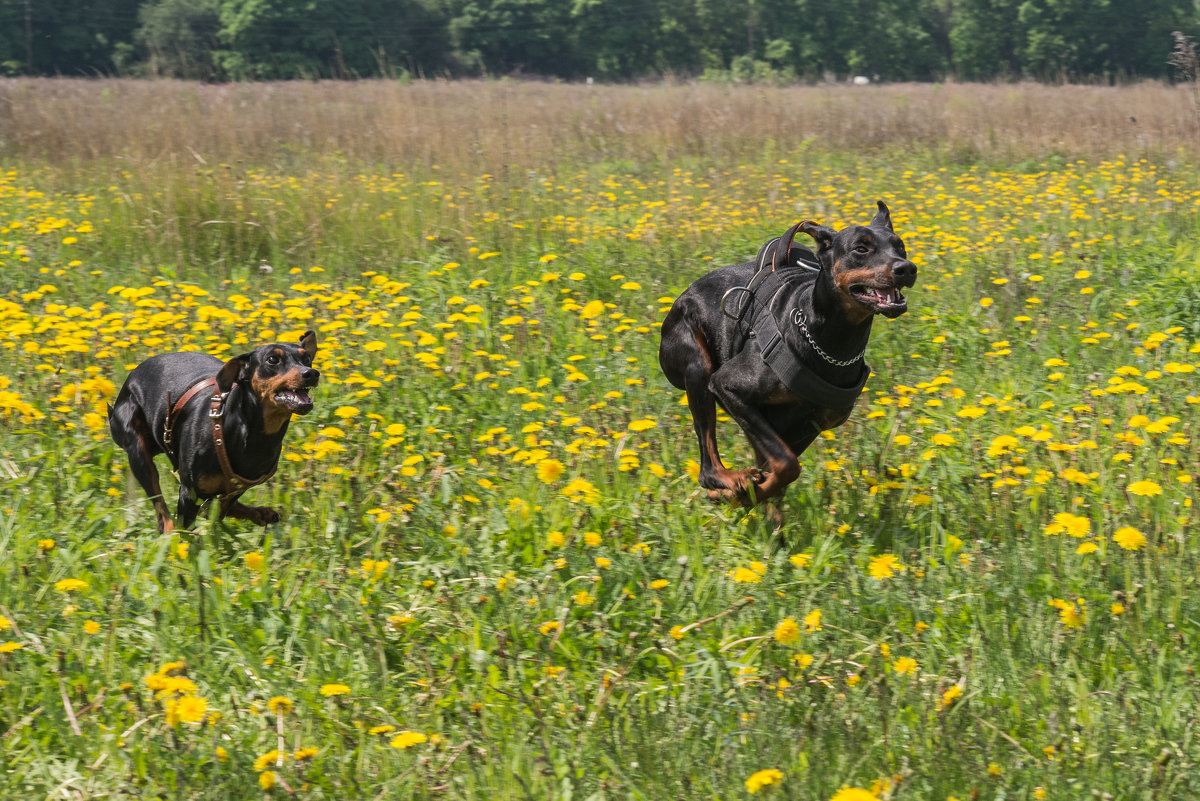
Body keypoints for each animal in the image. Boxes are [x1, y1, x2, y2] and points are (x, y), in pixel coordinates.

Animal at [108, 330, 321, 532]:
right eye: (273, 360)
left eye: (306, 358)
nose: (311, 373)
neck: (253, 436)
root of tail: (132, 374)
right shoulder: (189, 493)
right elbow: (188, 529)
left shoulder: (238, 486)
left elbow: (220, 507)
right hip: (137, 452)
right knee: (161, 509)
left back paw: (261, 513)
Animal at [662, 201, 912, 506]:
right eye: (861, 249)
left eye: (900, 246)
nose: (907, 268)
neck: (829, 342)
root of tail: (684, 294)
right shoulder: (726, 386)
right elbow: (787, 465)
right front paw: (747, 493)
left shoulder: (805, 427)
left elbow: (780, 471)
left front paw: (753, 495)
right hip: (698, 367)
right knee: (707, 466)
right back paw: (730, 481)